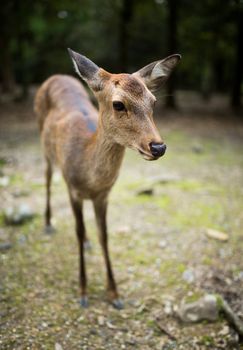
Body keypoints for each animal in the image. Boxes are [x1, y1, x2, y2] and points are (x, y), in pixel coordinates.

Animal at [34, 49, 180, 308]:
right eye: (118, 104)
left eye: (153, 101)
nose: (158, 147)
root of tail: (56, 76)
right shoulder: (73, 190)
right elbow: (77, 230)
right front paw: (83, 292)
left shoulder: (103, 195)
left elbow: (104, 235)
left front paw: (114, 293)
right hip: (45, 148)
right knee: (48, 179)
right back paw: (49, 223)